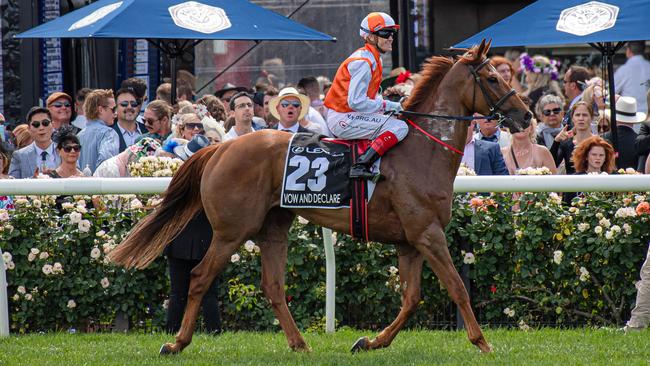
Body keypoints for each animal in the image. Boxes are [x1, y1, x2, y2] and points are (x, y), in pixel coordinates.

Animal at [110, 39, 528, 354]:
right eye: (492, 77)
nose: (525, 117)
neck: (423, 151)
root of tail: (219, 148)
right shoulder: (427, 233)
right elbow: (457, 288)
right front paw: (483, 343)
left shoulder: (410, 241)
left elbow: (411, 299)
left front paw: (370, 342)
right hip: (232, 231)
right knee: (199, 277)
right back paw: (177, 343)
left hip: (273, 228)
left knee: (273, 286)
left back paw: (300, 344)